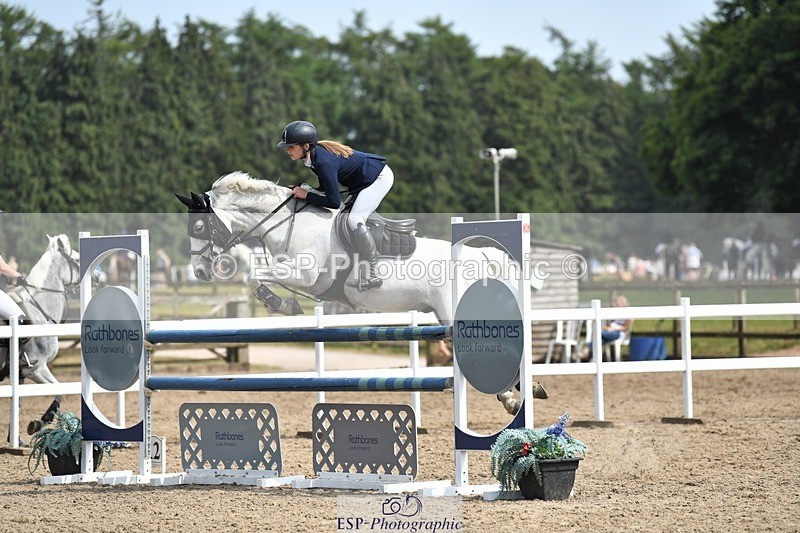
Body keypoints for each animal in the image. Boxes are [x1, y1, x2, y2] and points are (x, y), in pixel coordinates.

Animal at [0, 234, 81, 444]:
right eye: (76, 260)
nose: (98, 277)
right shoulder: (36, 368)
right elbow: (60, 391)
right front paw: (40, 422)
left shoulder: (20, 374)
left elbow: (17, 402)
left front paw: (16, 438)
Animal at [177, 171, 546, 414]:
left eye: (200, 227)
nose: (200, 272)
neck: (284, 224)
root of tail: (480, 255)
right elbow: (254, 277)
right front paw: (282, 304)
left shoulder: (306, 275)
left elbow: (254, 276)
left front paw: (282, 304)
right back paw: (517, 394)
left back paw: (519, 394)